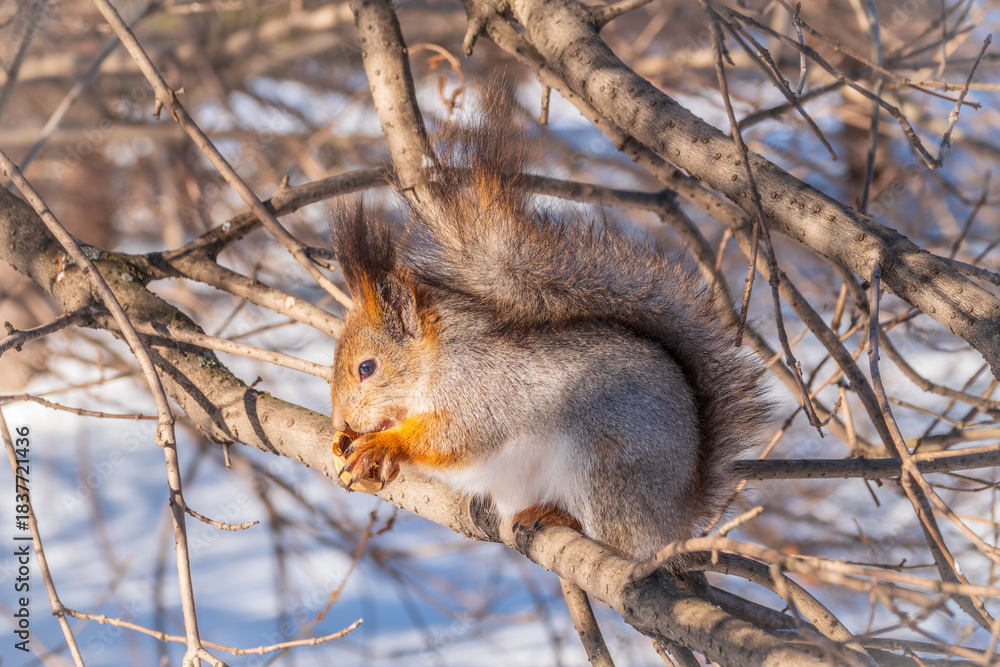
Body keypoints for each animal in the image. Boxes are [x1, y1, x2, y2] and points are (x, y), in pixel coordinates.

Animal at [329, 94, 769, 562]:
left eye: (367, 368)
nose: (341, 420)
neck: (437, 360)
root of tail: (676, 518)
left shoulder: (480, 392)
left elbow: (456, 437)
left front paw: (384, 444)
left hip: (606, 467)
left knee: (616, 537)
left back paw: (559, 515)